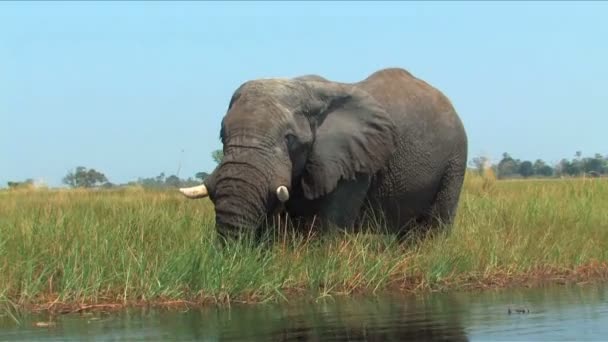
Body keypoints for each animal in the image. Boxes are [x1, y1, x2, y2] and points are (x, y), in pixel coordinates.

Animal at [178, 67, 468, 242]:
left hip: (455, 160)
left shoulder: (353, 164)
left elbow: (329, 229)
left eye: (290, 139)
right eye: (222, 135)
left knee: (437, 223)